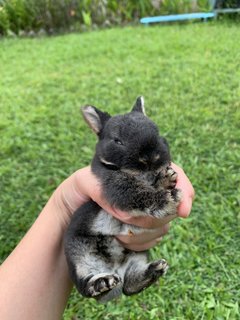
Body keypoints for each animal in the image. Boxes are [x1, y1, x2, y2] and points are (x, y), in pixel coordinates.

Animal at [63, 97, 182, 302]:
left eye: (157, 132)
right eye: (117, 141)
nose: (150, 157)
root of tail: (115, 269)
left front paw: (167, 178)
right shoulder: (117, 185)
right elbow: (137, 192)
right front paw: (167, 200)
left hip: (137, 257)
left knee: (130, 285)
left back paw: (156, 269)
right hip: (79, 257)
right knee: (87, 286)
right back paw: (103, 283)